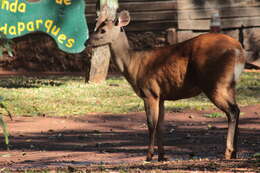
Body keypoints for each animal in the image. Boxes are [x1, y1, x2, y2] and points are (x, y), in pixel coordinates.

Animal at [87, 10, 246, 161]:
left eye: (102, 30)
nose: (86, 42)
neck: (133, 64)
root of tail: (239, 50)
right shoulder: (161, 96)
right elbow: (160, 125)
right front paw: (162, 156)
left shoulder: (149, 92)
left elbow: (151, 124)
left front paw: (149, 156)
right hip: (229, 85)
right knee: (237, 109)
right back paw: (235, 152)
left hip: (215, 82)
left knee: (232, 111)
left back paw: (228, 152)